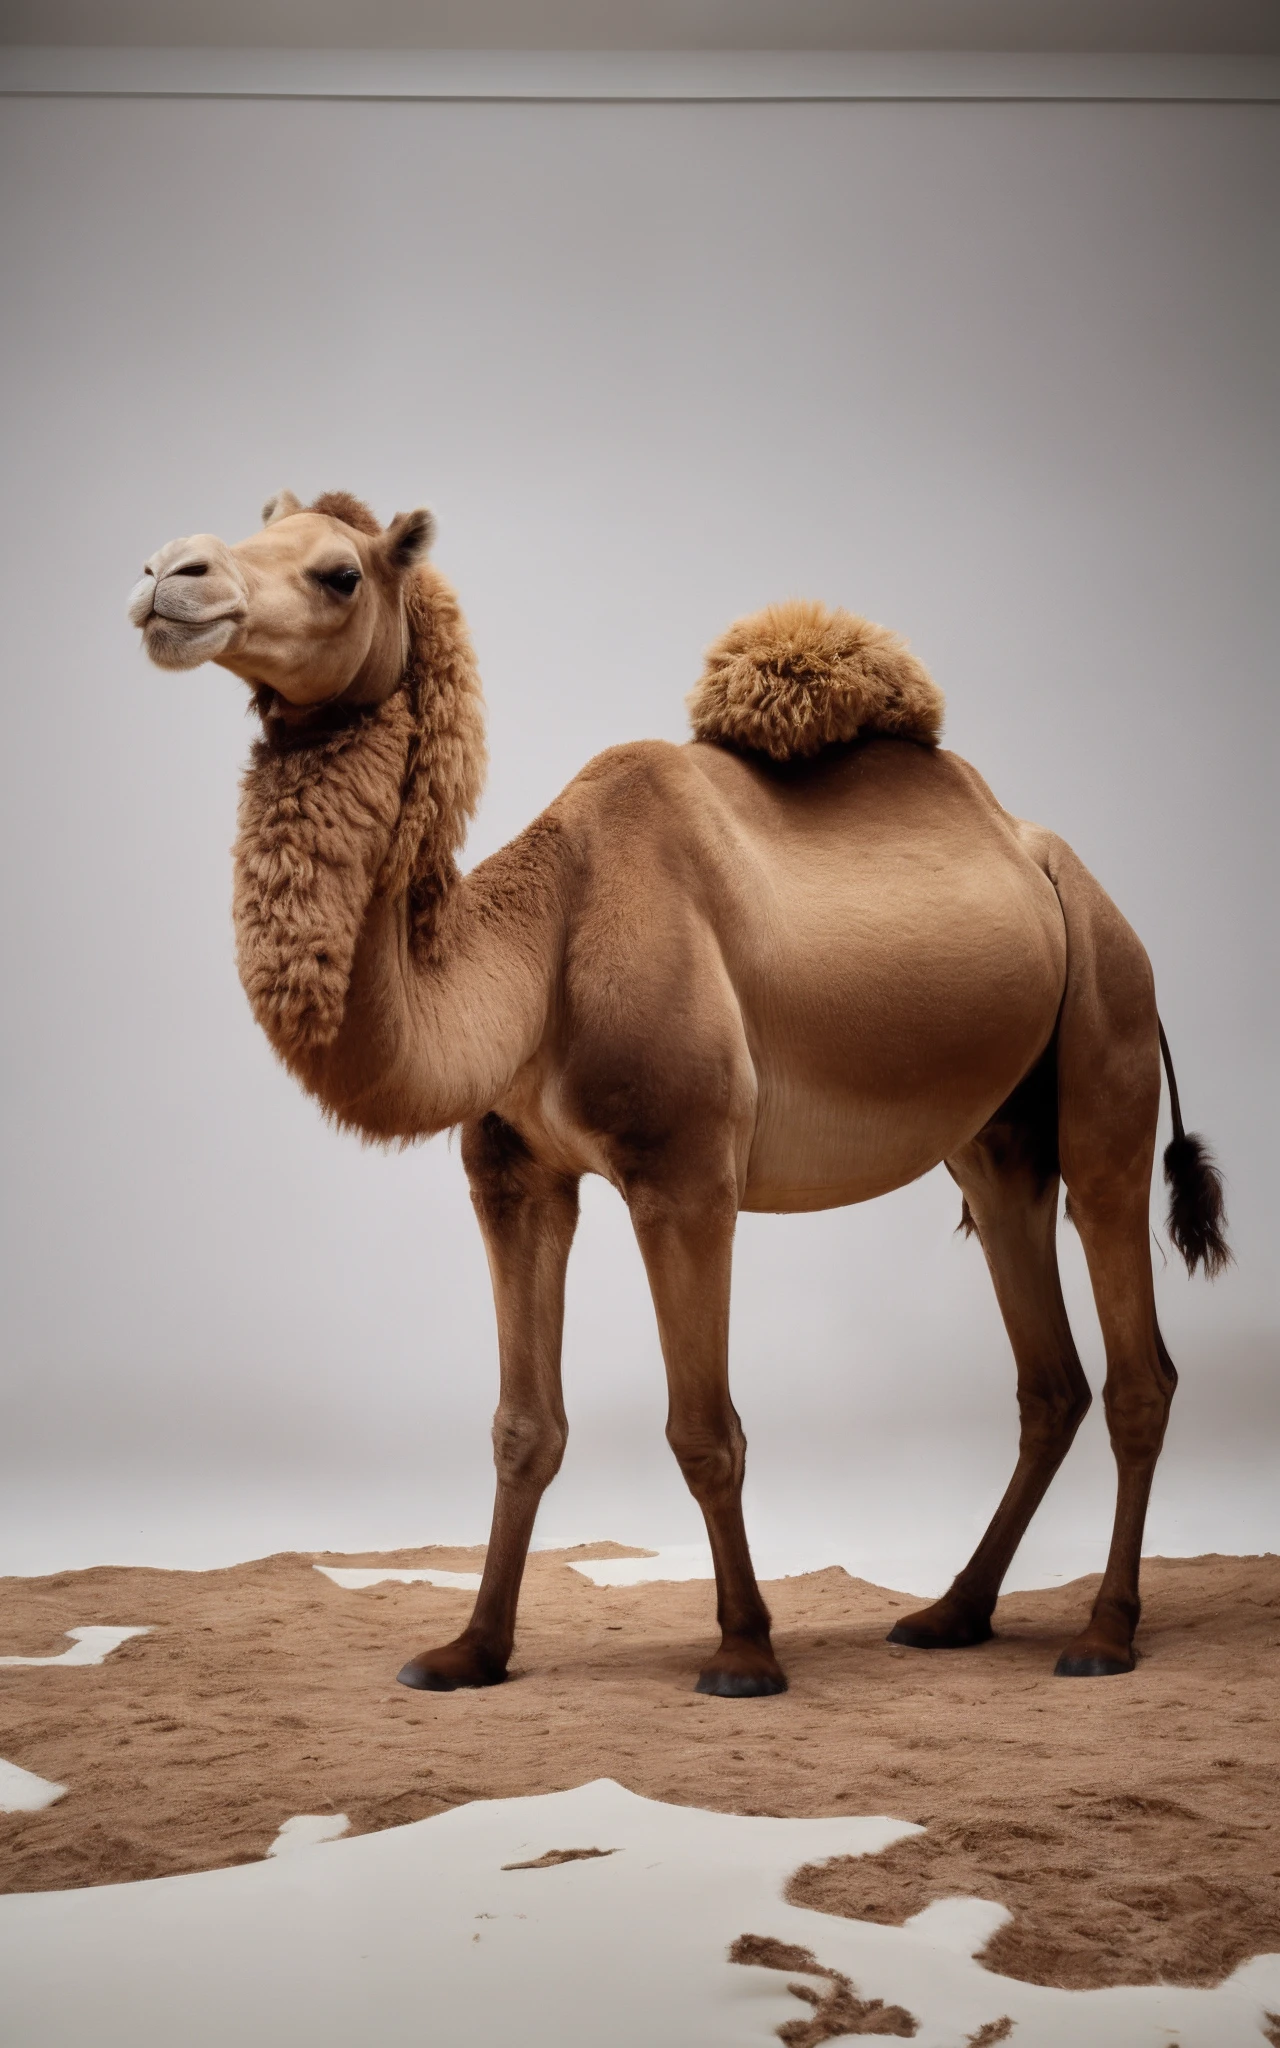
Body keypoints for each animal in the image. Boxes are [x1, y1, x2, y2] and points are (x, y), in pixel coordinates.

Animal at [130, 491, 1228, 1695]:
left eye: (339, 573)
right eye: (249, 532)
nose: (167, 573)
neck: (530, 951)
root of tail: (1063, 870)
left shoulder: (687, 1173)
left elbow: (704, 1428)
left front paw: (743, 1650)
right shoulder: (514, 1175)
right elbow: (524, 1426)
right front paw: (469, 1650)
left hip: (1109, 1035)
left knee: (1136, 1363)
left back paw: (1103, 1634)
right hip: (995, 1138)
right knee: (1048, 1375)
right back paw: (950, 1612)